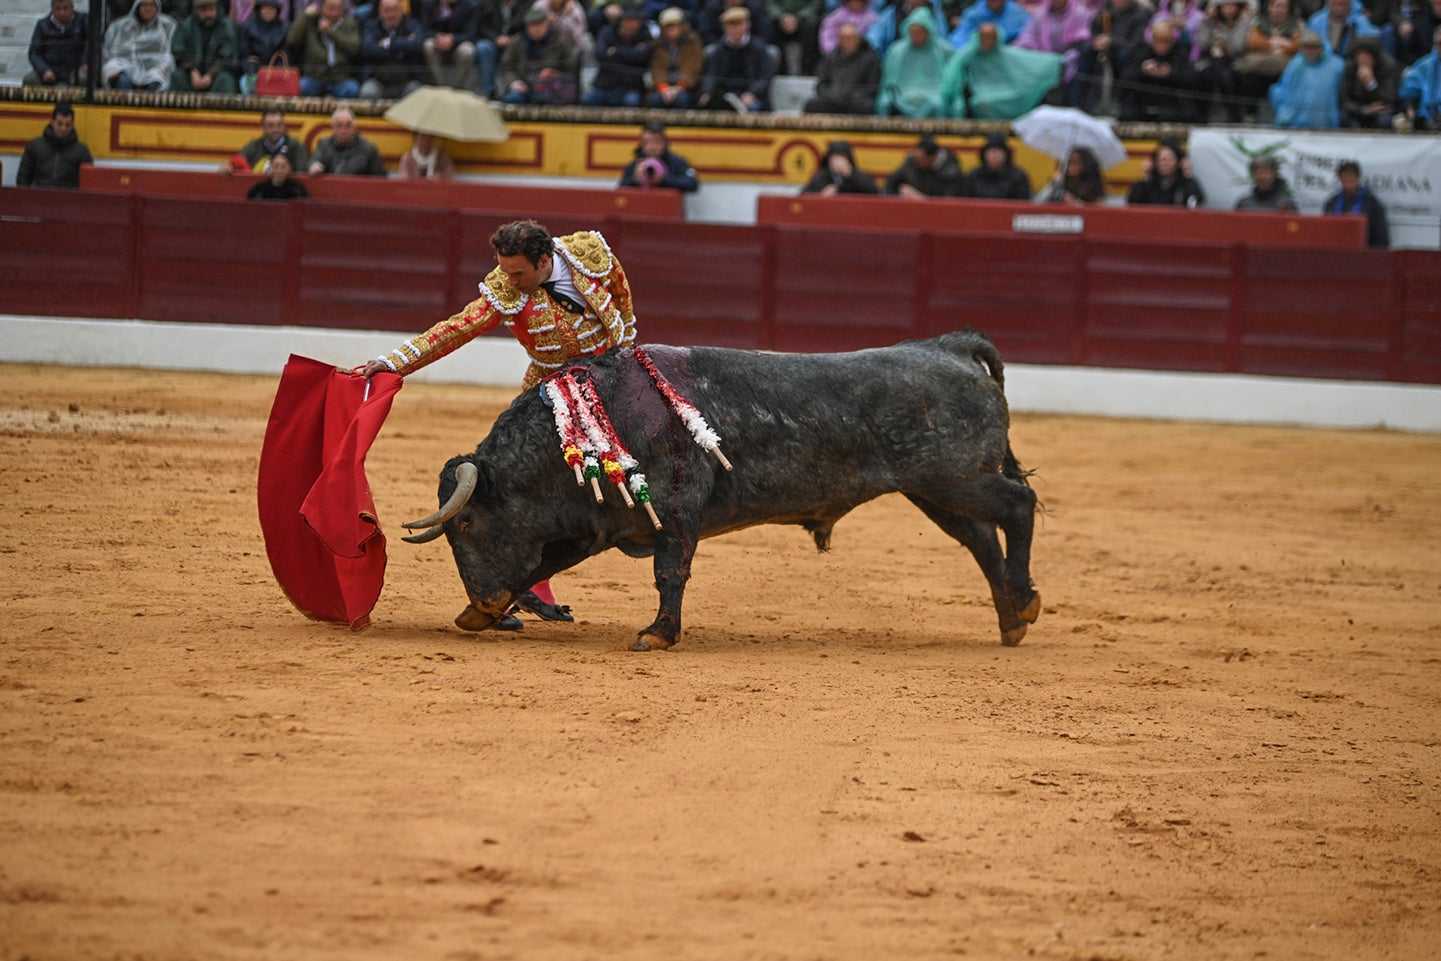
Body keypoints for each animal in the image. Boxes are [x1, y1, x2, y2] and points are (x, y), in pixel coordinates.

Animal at [400, 331, 1043, 654]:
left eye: (465, 524)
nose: (481, 601)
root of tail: (948, 347)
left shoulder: (675, 508)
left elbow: (670, 571)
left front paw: (657, 634)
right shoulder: (598, 525)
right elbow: (542, 563)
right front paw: (482, 614)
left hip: (954, 479)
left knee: (1017, 506)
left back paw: (1025, 604)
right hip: (936, 490)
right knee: (982, 540)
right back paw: (1011, 619)